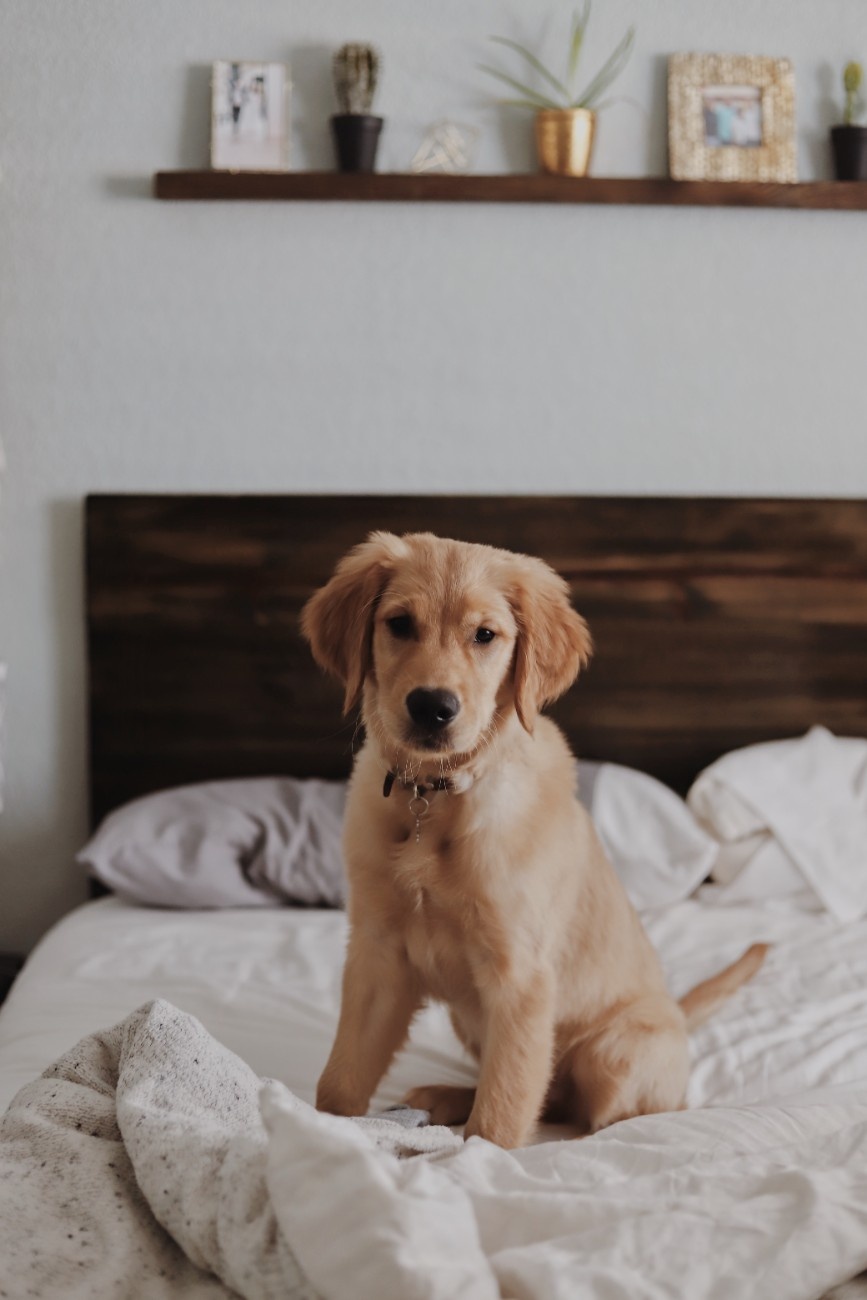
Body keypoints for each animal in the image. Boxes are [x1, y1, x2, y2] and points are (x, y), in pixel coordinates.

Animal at [300, 530, 764, 1149]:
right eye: (399, 624)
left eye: (485, 635)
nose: (432, 706)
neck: (437, 798)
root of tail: (678, 1014)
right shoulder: (377, 953)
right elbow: (343, 1076)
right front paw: (322, 1131)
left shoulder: (519, 973)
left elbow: (503, 1107)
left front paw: (476, 1156)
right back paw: (444, 1096)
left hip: (615, 1051)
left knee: (597, 1110)